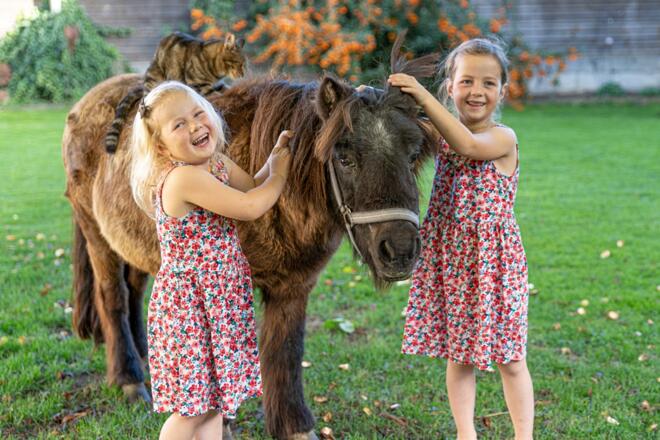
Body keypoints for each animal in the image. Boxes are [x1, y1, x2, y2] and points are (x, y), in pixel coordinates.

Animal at [62, 37, 439, 439]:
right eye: (345, 158)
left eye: (413, 155)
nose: (399, 250)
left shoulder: (294, 287)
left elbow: (285, 350)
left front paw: (293, 426)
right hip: (96, 237)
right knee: (113, 297)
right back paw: (129, 377)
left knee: (133, 290)